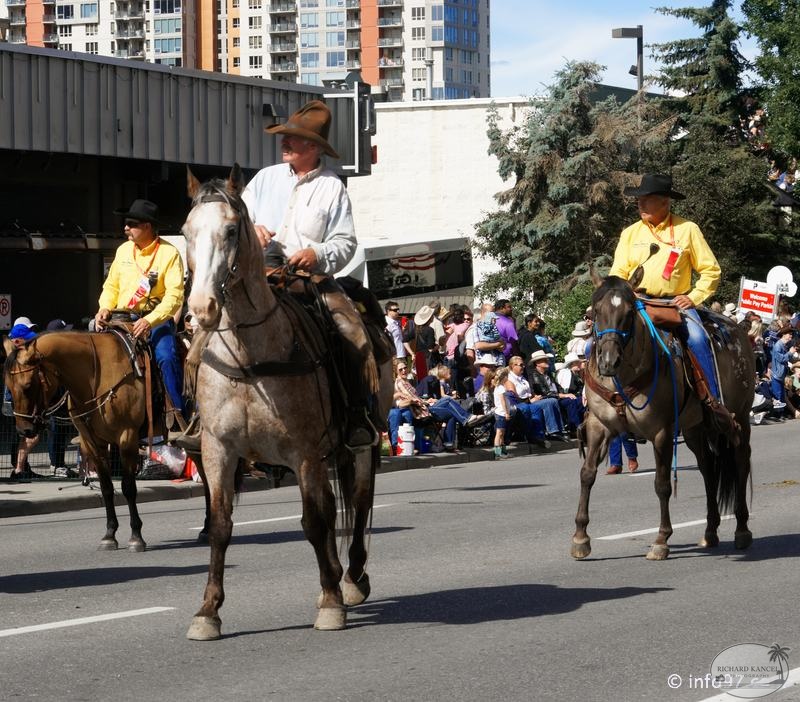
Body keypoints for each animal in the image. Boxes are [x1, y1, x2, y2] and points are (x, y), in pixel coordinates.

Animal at [4, 332, 153, 552]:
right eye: (7, 386)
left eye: (28, 386)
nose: (24, 430)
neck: (96, 378)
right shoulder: (92, 442)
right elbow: (107, 488)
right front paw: (109, 535)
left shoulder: (128, 437)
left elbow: (128, 487)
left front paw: (136, 536)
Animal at [182, 166, 394, 644]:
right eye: (186, 231)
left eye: (230, 230)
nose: (202, 308)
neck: (251, 360)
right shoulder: (218, 451)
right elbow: (220, 527)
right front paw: (207, 611)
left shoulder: (303, 452)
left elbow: (314, 522)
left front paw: (331, 604)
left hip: (362, 441)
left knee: (359, 499)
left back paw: (351, 580)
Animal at [572, 274, 752, 560]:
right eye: (595, 312)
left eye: (630, 312)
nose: (609, 361)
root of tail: (737, 329)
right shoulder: (598, 426)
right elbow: (587, 474)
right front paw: (580, 538)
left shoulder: (661, 432)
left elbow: (662, 483)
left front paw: (661, 539)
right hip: (695, 429)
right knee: (708, 470)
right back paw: (710, 532)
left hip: (741, 418)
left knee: (741, 462)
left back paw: (742, 529)